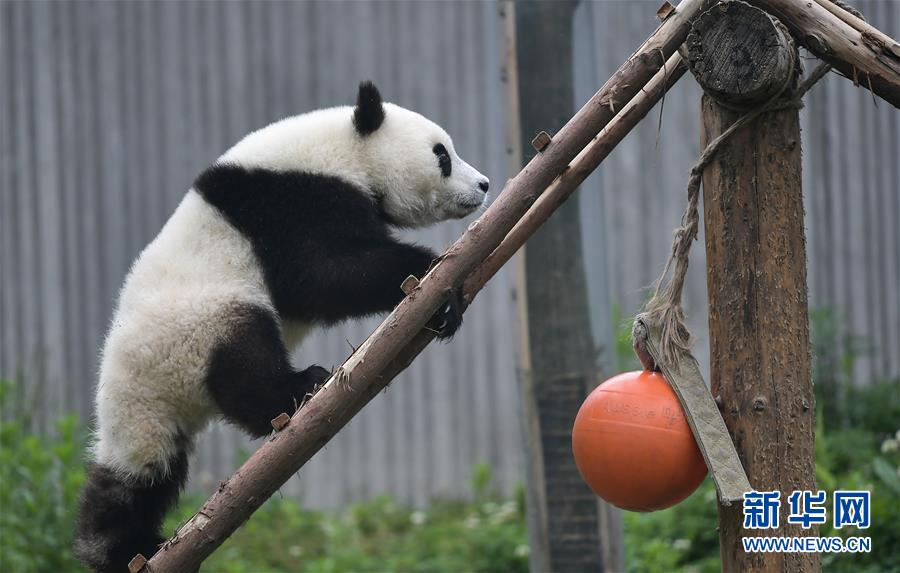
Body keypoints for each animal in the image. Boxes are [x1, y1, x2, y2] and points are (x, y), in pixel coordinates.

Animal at [74, 81, 488, 572]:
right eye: (442, 154)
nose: (483, 185)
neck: (341, 151)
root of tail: (138, 388)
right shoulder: (291, 203)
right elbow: (317, 277)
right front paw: (428, 272)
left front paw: (445, 306)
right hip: (202, 322)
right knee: (245, 365)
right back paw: (300, 387)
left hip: (150, 415)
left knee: (140, 479)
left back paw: (124, 548)